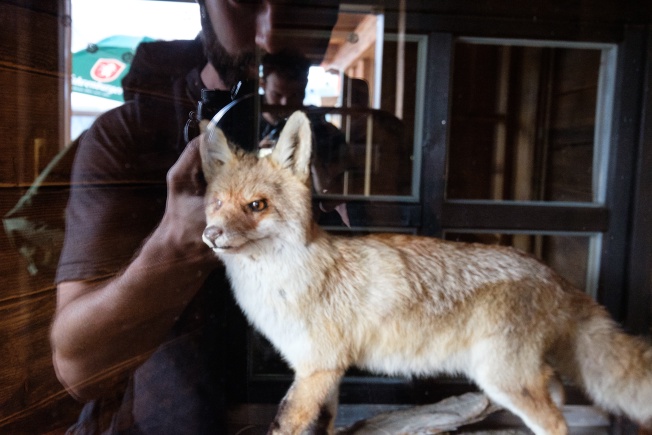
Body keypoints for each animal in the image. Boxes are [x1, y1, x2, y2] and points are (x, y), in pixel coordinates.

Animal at [199, 111, 652, 435]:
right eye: (217, 203)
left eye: (256, 206)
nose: (210, 234)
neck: (288, 280)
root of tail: (553, 276)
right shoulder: (327, 372)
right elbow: (324, 425)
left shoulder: (316, 369)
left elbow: (282, 424)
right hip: (515, 377)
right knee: (557, 392)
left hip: (501, 377)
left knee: (556, 421)